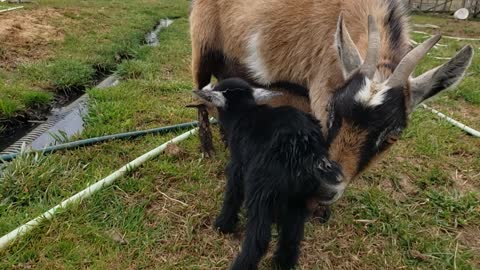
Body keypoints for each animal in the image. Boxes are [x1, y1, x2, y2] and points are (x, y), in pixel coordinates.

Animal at [189, 0, 474, 200]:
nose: (325, 189)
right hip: (202, 45)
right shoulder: (320, 83)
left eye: (393, 137)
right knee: (200, 92)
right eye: (331, 111)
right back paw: (208, 149)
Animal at [193, 77, 344, 268]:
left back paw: (241, 264)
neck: (245, 112)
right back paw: (283, 264)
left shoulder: (238, 166)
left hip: (261, 190)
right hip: (297, 197)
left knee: (259, 237)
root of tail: (304, 149)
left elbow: (232, 195)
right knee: (292, 234)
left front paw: (222, 226)